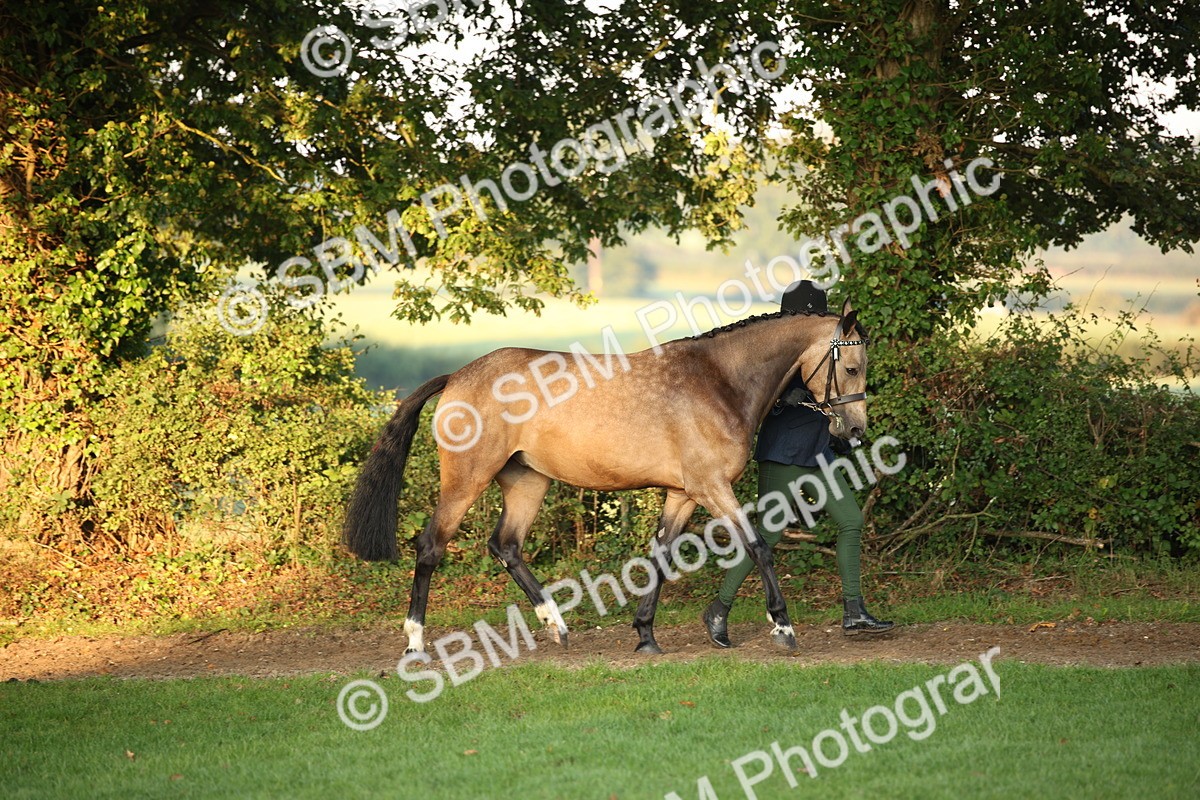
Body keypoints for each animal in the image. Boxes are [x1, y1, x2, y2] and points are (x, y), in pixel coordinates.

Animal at [342, 300, 869, 655]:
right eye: (852, 366)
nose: (855, 432)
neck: (718, 381)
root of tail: (456, 376)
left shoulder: (682, 494)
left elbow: (661, 555)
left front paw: (646, 635)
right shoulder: (712, 488)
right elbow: (758, 546)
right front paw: (783, 627)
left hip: (527, 482)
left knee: (506, 546)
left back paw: (556, 626)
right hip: (466, 480)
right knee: (431, 546)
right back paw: (415, 642)